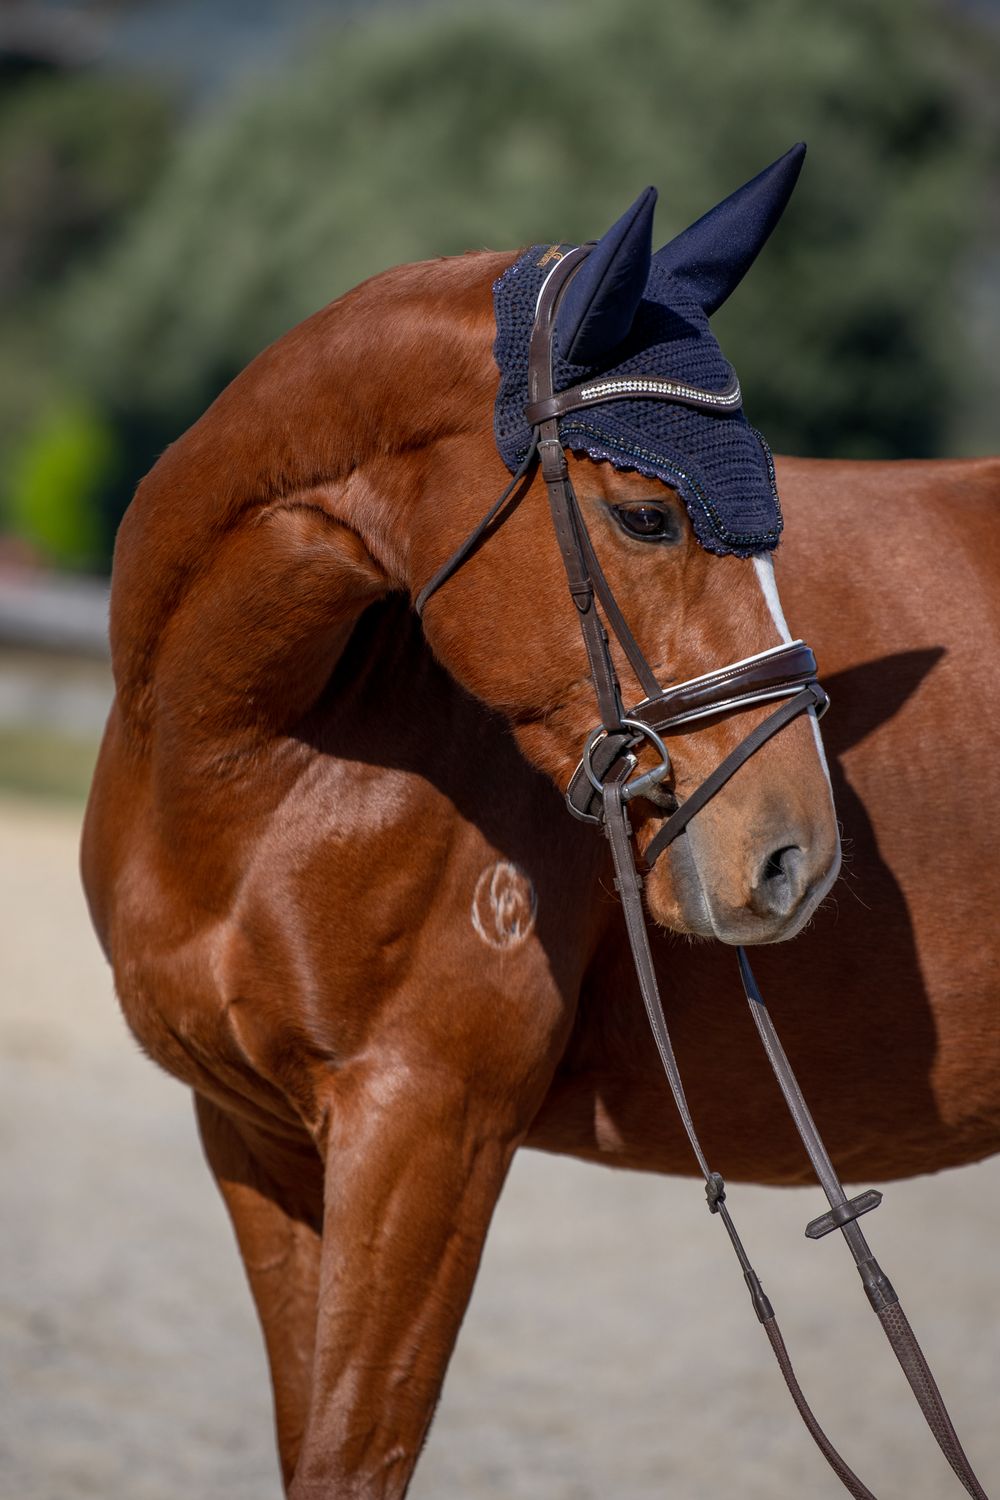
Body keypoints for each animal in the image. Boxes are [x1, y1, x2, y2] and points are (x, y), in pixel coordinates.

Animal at [80, 149, 997, 1497]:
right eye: (646, 516)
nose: (794, 857)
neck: (258, 766)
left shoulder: (427, 1133)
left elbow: (354, 1456)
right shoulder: (255, 1137)